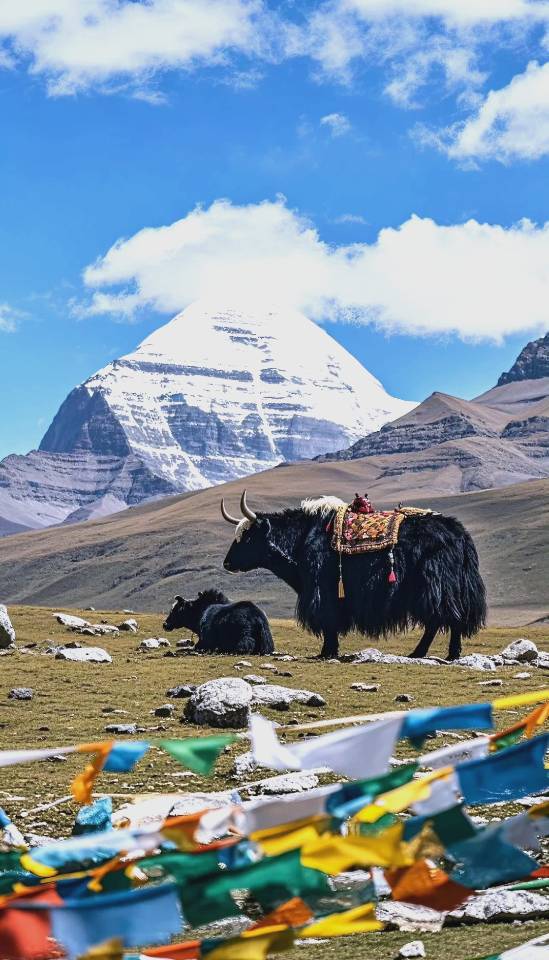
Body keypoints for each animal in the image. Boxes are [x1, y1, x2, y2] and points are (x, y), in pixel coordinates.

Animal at [221, 491, 487, 661]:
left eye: (247, 536)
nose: (227, 563)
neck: (302, 538)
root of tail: (460, 533)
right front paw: (330, 651)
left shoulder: (323, 591)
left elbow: (329, 621)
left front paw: (326, 652)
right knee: (444, 619)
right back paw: (428, 653)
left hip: (436, 586)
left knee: (445, 618)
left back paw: (442, 653)